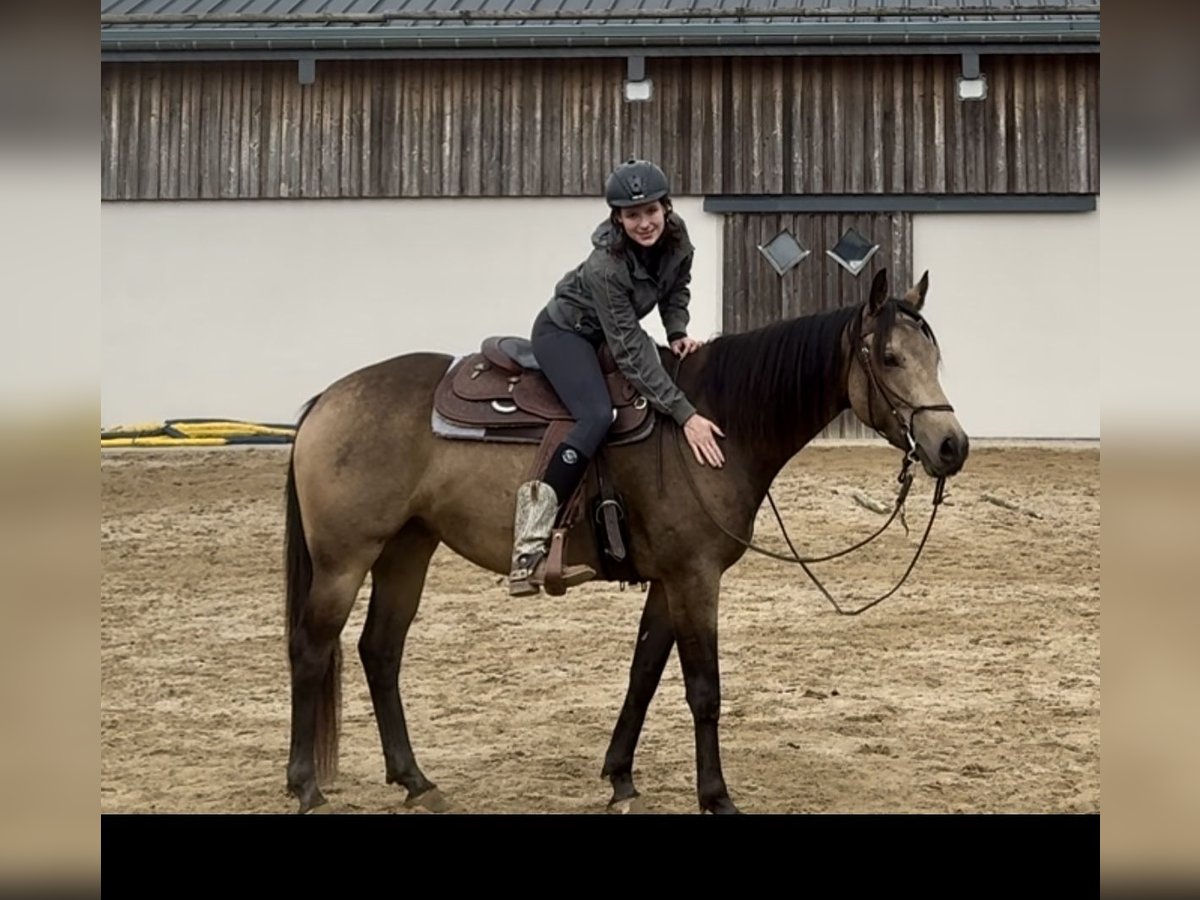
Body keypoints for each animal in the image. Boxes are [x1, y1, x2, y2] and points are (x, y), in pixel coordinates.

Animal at [285, 267, 969, 816]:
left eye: (934, 357)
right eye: (889, 358)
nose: (951, 447)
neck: (712, 422)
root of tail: (327, 400)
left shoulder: (669, 579)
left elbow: (643, 671)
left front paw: (620, 778)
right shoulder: (695, 577)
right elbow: (703, 690)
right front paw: (716, 796)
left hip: (407, 550)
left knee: (380, 651)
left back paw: (416, 781)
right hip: (345, 560)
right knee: (312, 650)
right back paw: (307, 787)